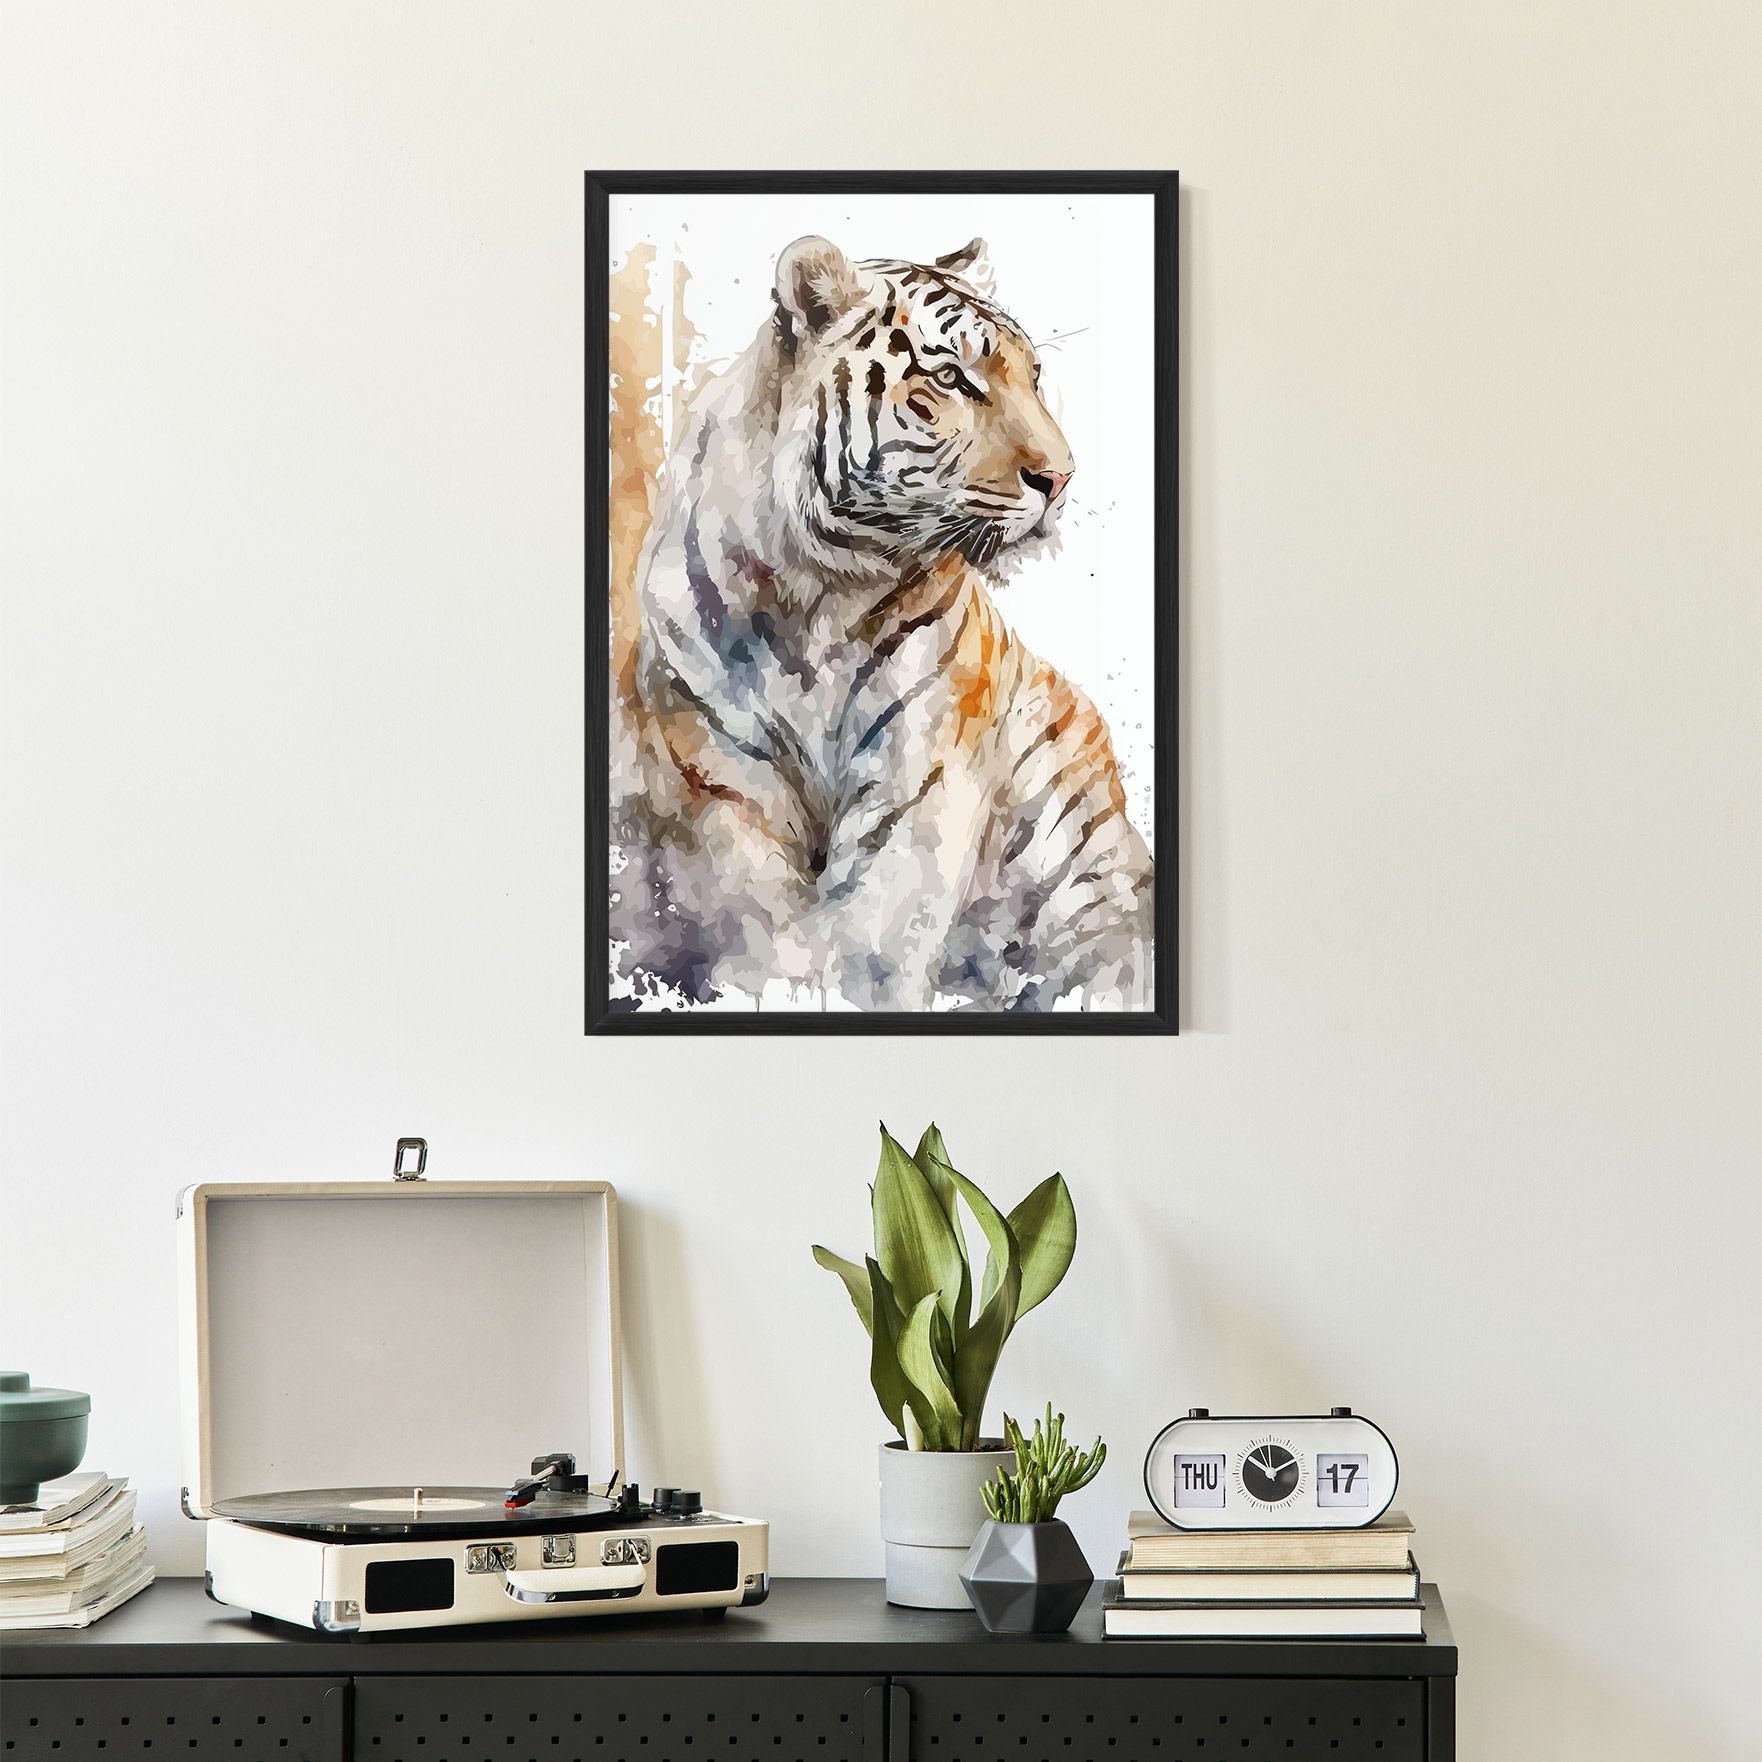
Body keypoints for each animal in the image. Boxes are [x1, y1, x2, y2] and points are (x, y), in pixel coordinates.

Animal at [609, 233, 1154, 1012]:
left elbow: (874, 945)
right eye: (953, 378)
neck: (814, 595)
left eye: (1035, 376)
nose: (1062, 478)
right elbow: (754, 928)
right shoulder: (720, 777)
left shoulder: (918, 777)